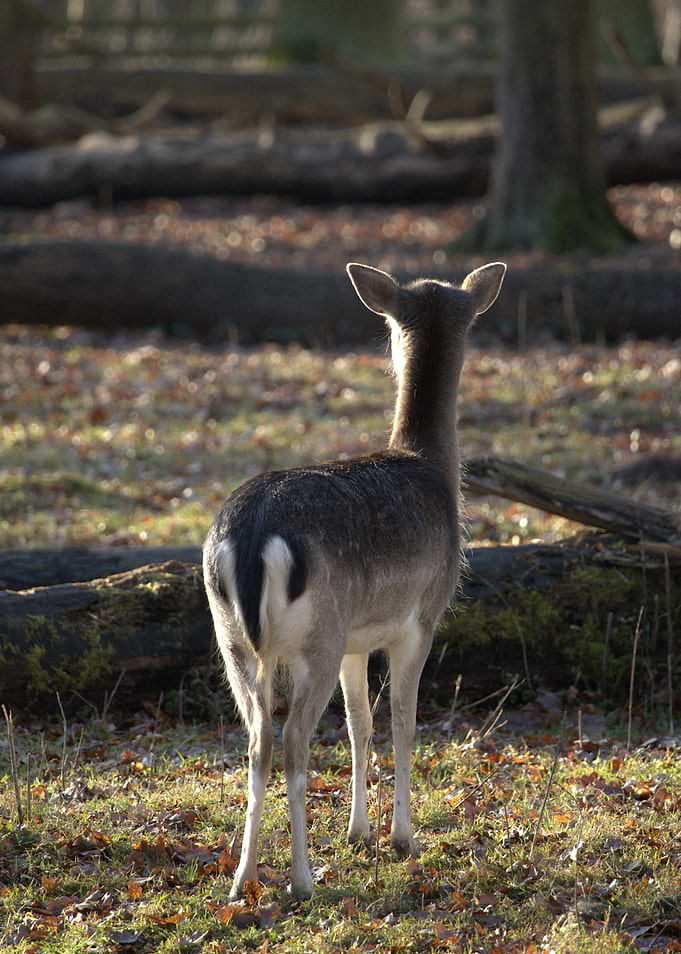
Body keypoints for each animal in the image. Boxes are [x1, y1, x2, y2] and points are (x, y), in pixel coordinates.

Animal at [203, 260, 506, 899]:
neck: (434, 470)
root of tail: (252, 537)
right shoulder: (419, 620)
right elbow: (404, 725)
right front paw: (401, 838)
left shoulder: (357, 640)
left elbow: (360, 726)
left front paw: (358, 832)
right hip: (317, 635)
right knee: (292, 742)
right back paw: (300, 880)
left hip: (233, 636)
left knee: (256, 741)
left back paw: (243, 879)